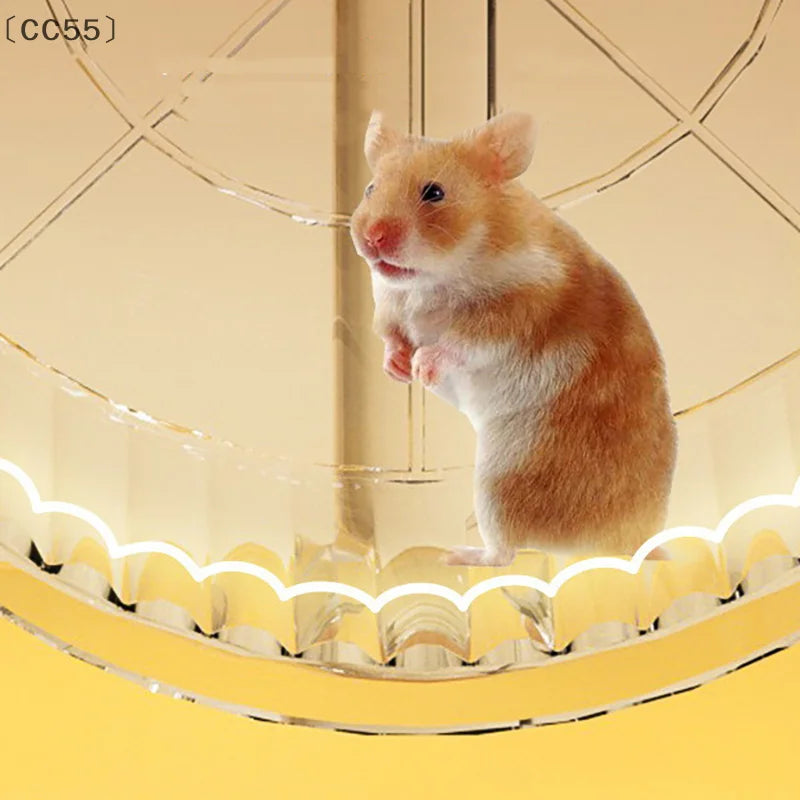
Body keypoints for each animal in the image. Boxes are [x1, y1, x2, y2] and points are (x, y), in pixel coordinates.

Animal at [349, 110, 677, 566]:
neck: (434, 275)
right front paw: (399, 369)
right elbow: (392, 338)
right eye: (370, 188)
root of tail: (634, 541)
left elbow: (460, 342)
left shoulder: (514, 310)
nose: (372, 238)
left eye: (434, 192)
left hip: (499, 483)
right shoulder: (389, 306)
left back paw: (454, 555)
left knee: (505, 554)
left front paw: (422, 368)